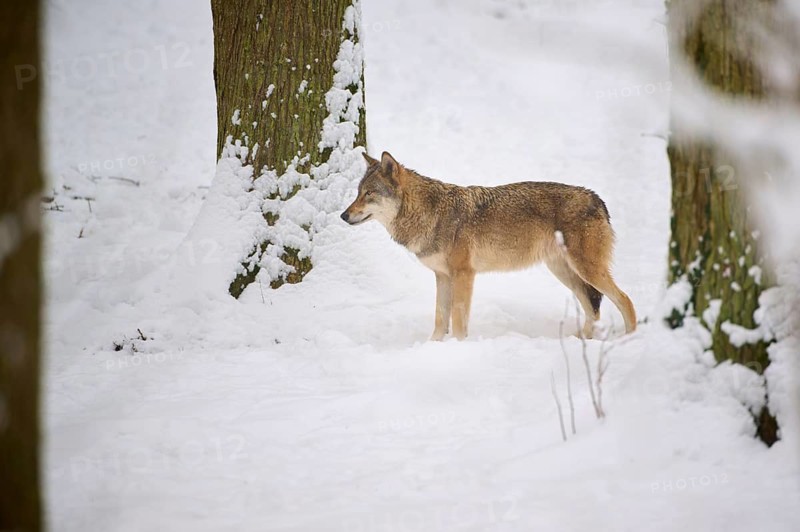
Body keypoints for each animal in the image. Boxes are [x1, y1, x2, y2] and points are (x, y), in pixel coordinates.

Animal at [341, 151, 637, 341]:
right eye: (357, 193)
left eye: (369, 194)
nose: (343, 215)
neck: (431, 213)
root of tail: (597, 198)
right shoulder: (442, 277)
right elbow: (440, 319)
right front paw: (433, 348)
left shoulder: (464, 275)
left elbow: (458, 321)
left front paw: (459, 349)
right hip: (565, 273)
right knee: (593, 308)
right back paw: (583, 342)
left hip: (586, 270)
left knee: (625, 300)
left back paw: (630, 340)